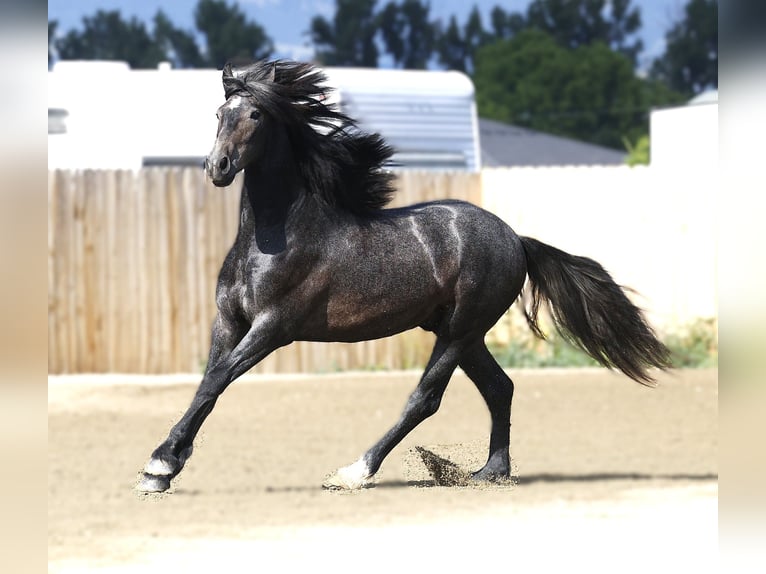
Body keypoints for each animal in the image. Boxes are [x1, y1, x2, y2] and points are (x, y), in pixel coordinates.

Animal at [136, 60, 671, 493]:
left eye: (256, 116)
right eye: (218, 114)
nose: (217, 167)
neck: (275, 236)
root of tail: (516, 239)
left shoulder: (273, 327)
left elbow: (217, 379)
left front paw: (160, 465)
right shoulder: (229, 321)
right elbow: (207, 383)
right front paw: (165, 466)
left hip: (459, 331)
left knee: (425, 399)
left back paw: (355, 472)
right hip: (461, 332)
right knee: (500, 388)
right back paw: (489, 473)